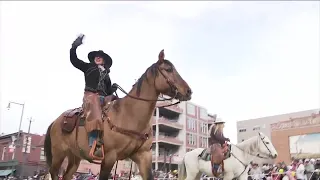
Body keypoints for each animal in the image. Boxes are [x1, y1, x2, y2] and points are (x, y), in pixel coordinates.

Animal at [43, 49, 191, 180]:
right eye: (168, 69)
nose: (189, 91)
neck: (129, 115)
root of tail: (55, 121)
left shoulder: (143, 156)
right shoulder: (109, 157)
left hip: (74, 156)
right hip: (58, 154)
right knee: (53, 173)